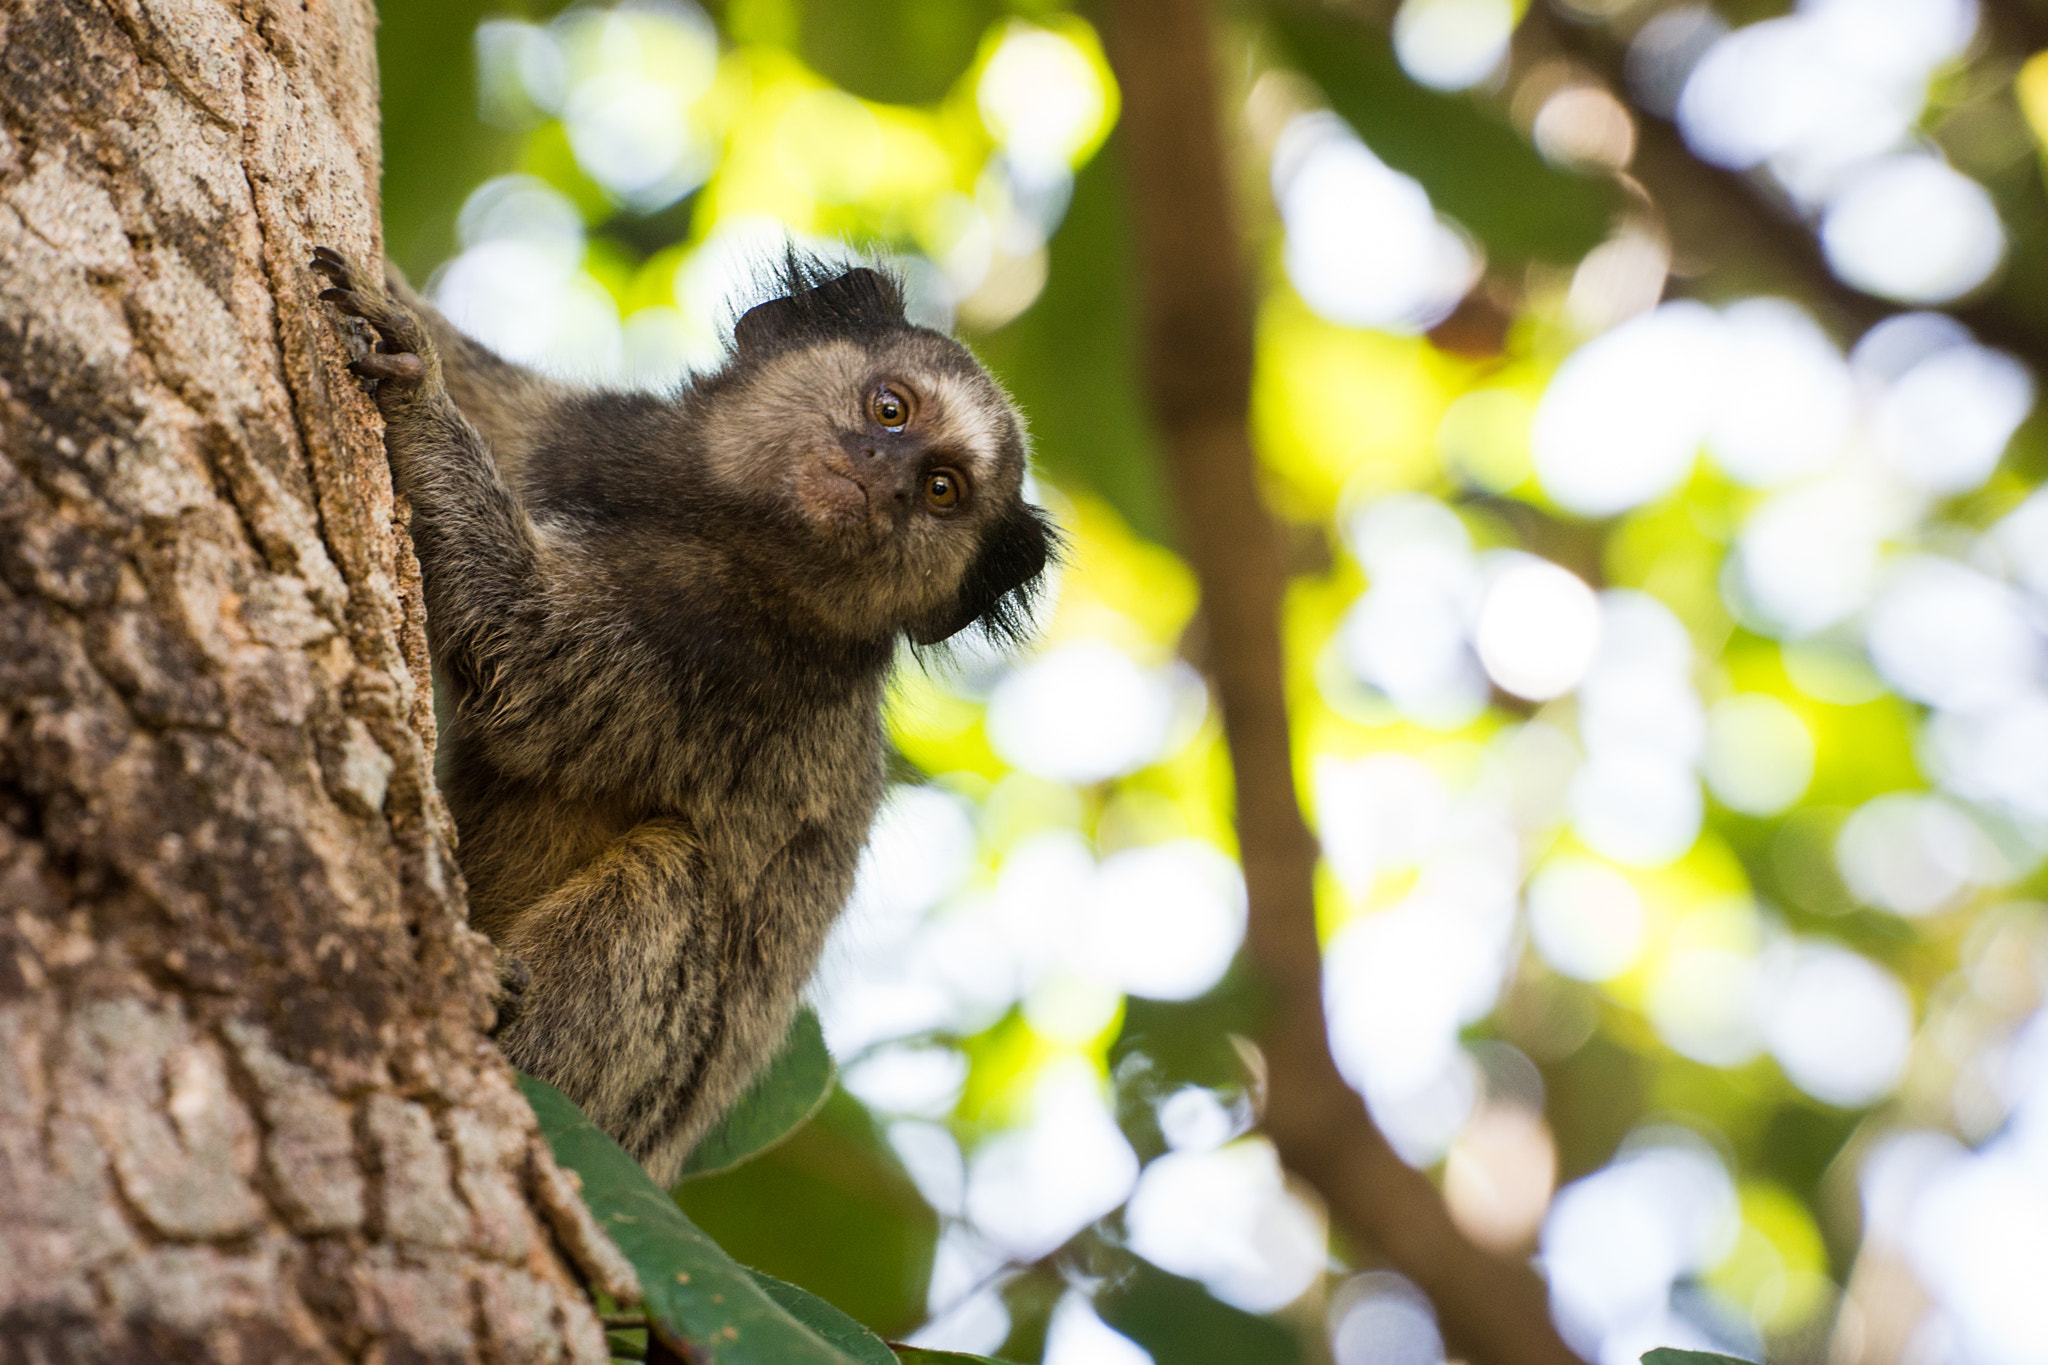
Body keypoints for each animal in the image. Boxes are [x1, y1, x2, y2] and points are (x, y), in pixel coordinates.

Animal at [311, 245, 1064, 1186]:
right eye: (890, 409)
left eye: (941, 491)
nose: (883, 479)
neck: (715, 532)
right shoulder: (574, 435)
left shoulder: (726, 667)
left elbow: (522, 654)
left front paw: (418, 395)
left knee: (677, 880)